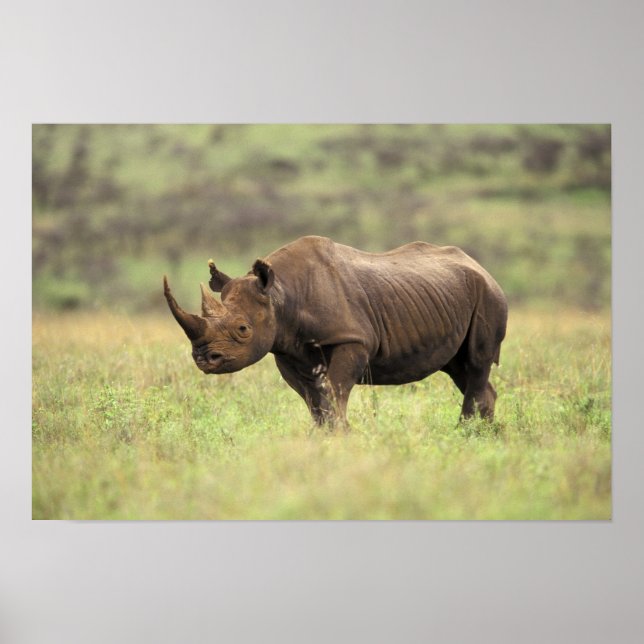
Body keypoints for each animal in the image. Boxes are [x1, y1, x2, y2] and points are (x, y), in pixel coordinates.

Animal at [164, 235, 508, 428]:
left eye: (243, 328)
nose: (204, 359)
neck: (280, 294)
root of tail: (484, 269)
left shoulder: (351, 339)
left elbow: (334, 390)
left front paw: (341, 435)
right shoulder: (286, 349)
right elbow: (312, 399)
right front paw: (323, 437)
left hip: (489, 296)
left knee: (476, 363)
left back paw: (465, 433)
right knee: (460, 369)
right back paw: (484, 437)